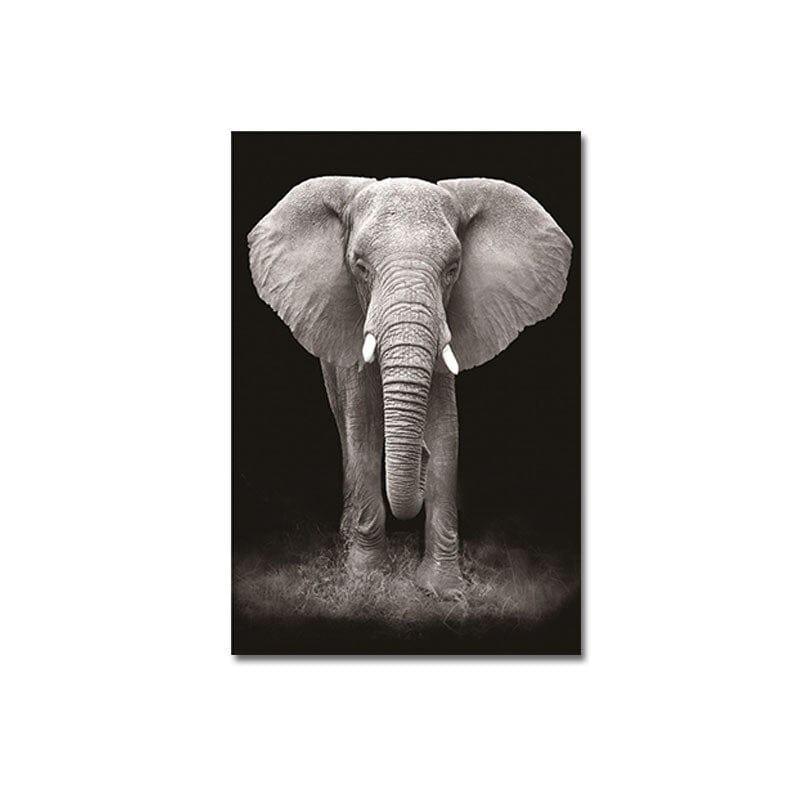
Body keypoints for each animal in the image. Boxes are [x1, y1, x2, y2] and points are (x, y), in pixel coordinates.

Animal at [247, 176, 572, 596]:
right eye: (360, 266)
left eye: (452, 268)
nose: (421, 455)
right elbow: (363, 428)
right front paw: (366, 578)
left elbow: (447, 432)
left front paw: (444, 590)